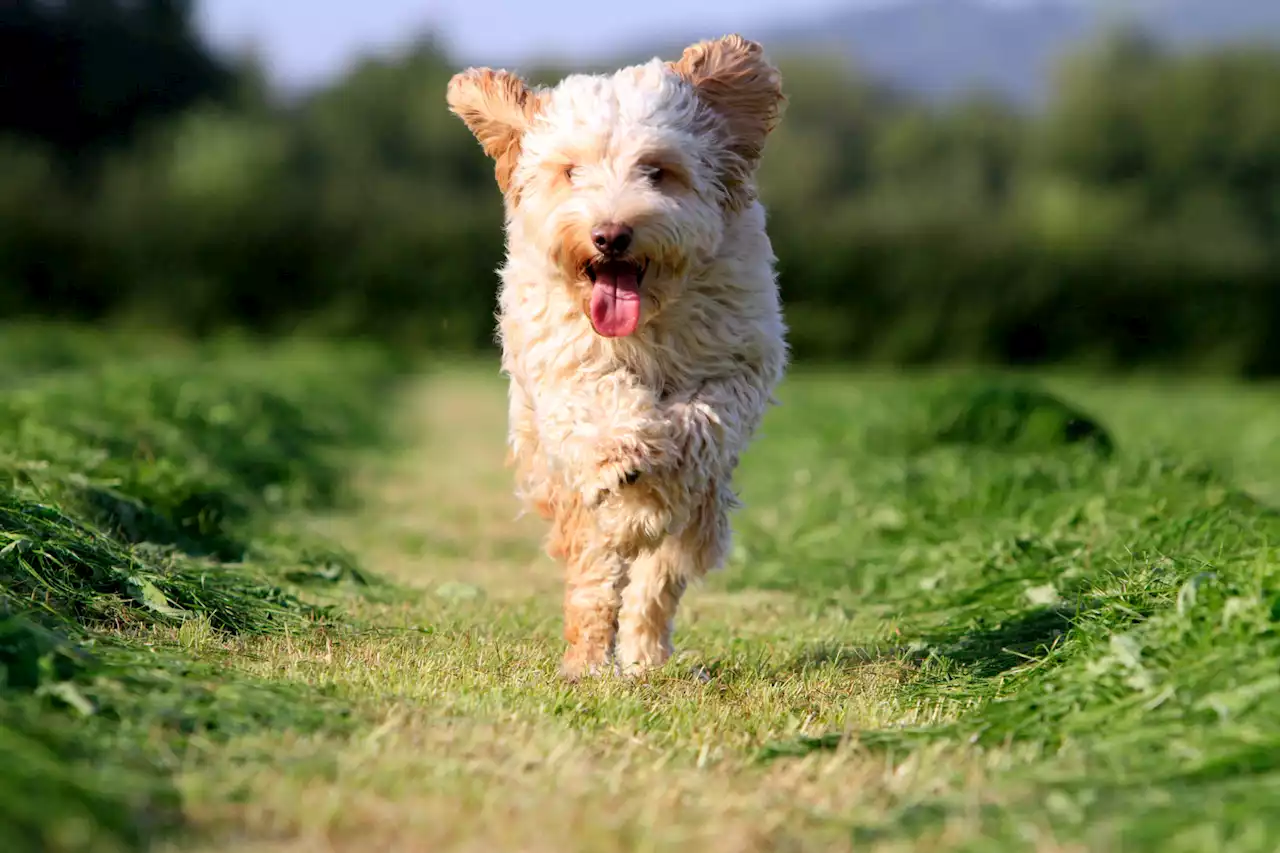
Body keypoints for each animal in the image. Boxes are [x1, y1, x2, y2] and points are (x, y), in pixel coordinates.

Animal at [448, 36, 788, 681]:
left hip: (703, 518)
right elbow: (601, 404)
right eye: (570, 172)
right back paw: (586, 657)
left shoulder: (737, 361)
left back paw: (645, 652)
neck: (645, 328)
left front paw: (656, 469)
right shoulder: (564, 367)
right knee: (595, 574)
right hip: (556, 480)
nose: (610, 235)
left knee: (657, 578)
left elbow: (701, 420)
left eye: (656, 170)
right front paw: (627, 456)